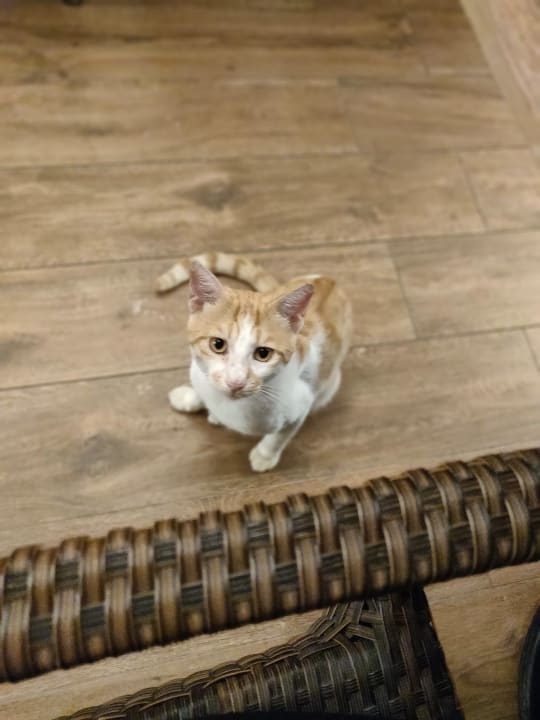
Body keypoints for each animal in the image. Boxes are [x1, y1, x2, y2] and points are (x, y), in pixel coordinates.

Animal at [156, 252, 352, 472]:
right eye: (217, 344)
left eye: (263, 353)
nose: (235, 382)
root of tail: (330, 281)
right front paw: (188, 397)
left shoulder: (301, 403)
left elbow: (280, 436)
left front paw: (264, 456)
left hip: (330, 384)